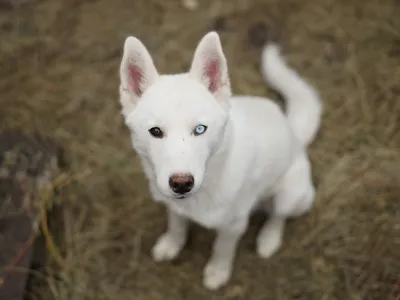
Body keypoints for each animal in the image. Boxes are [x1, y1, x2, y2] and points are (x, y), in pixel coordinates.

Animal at [118, 31, 322, 290]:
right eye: (155, 131)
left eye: (200, 129)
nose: (182, 184)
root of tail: (293, 132)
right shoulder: (174, 206)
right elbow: (177, 225)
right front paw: (171, 245)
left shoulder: (233, 226)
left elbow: (222, 249)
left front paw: (217, 272)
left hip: (291, 195)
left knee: (278, 216)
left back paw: (268, 239)